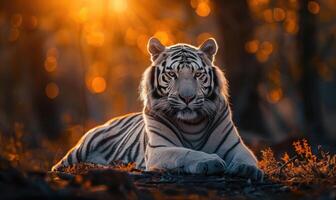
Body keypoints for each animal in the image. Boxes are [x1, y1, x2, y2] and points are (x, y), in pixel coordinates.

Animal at [51, 36, 262, 180]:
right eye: (172, 74)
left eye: (197, 74)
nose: (187, 97)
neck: (192, 124)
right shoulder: (160, 149)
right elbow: (186, 153)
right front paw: (209, 161)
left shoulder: (236, 146)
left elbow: (246, 158)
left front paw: (248, 169)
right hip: (81, 148)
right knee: (59, 166)